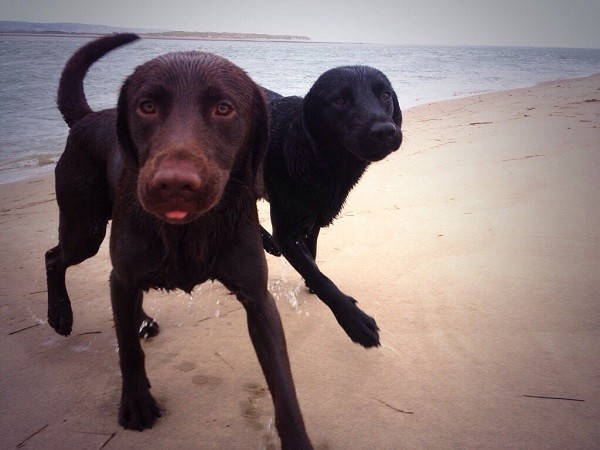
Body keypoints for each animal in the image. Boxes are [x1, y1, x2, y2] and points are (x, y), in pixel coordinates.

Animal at [44, 35, 312, 450]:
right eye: (147, 106)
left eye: (224, 108)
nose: (173, 185)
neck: (187, 231)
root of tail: (86, 118)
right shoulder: (124, 274)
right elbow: (129, 352)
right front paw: (136, 402)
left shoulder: (257, 298)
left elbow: (283, 382)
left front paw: (298, 437)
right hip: (84, 229)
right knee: (55, 257)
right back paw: (60, 314)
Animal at [260, 66, 400, 348]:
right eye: (339, 100)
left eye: (385, 95)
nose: (385, 131)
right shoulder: (286, 232)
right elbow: (320, 277)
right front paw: (355, 320)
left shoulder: (313, 221)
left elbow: (312, 259)